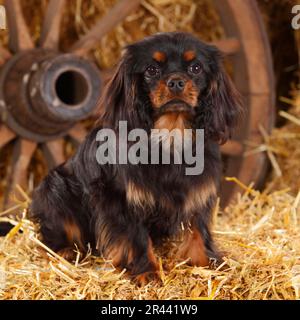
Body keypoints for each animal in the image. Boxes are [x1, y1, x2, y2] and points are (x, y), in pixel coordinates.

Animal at [29, 32, 241, 282]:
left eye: (196, 68)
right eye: (151, 70)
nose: (176, 81)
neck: (171, 135)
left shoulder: (198, 192)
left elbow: (198, 230)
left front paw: (207, 264)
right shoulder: (121, 198)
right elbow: (136, 237)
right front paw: (147, 272)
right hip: (54, 186)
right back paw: (64, 251)